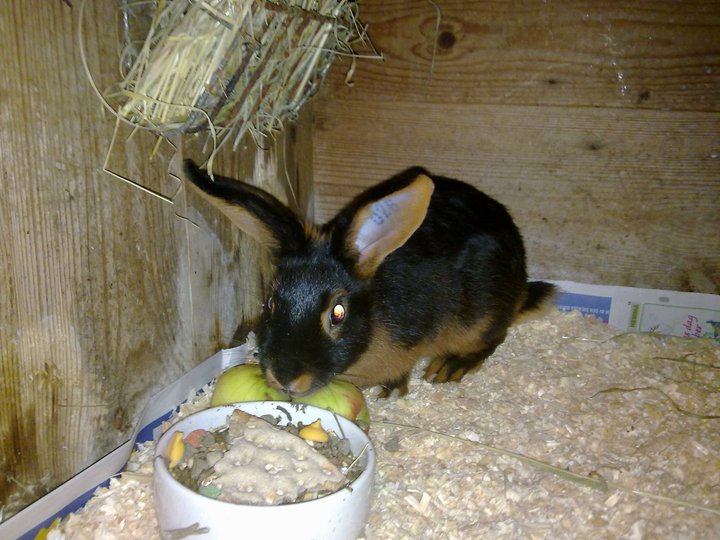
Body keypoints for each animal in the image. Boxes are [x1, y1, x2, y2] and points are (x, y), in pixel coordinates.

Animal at [184, 160, 555, 397]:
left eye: (338, 313)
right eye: (271, 304)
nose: (286, 378)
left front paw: (392, 390)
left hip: (479, 318)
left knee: (494, 338)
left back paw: (450, 366)